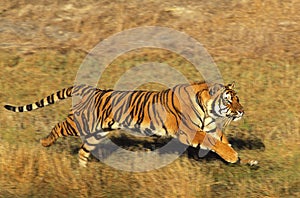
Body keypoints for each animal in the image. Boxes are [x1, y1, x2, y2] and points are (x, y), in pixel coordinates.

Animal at [4, 81, 258, 166]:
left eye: (238, 98)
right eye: (230, 99)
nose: (242, 111)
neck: (208, 109)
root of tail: (89, 89)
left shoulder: (210, 128)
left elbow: (223, 142)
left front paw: (248, 160)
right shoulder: (189, 131)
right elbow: (218, 144)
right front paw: (234, 157)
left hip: (96, 134)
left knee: (83, 151)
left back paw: (82, 173)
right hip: (80, 123)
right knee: (58, 127)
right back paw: (45, 142)